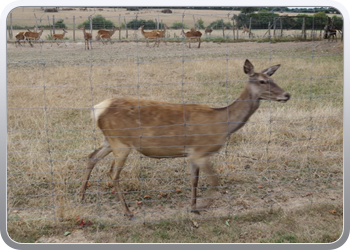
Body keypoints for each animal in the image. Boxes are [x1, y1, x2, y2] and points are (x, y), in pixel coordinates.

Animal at [78, 59, 290, 219]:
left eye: (271, 77)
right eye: (262, 81)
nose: (287, 94)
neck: (223, 124)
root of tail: (97, 109)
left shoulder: (192, 153)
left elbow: (195, 180)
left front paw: (193, 207)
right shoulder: (201, 151)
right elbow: (214, 180)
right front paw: (202, 205)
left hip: (110, 140)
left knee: (92, 157)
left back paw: (81, 197)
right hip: (121, 143)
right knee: (113, 173)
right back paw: (127, 212)